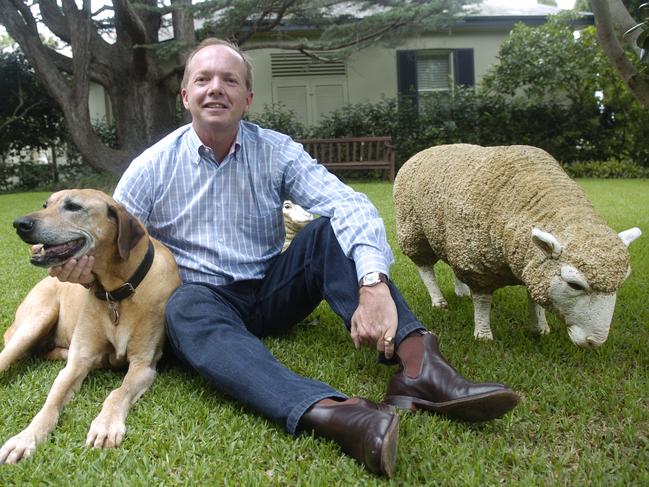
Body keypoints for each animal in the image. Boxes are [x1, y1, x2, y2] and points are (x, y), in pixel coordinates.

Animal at [0, 190, 178, 466]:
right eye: (46, 204)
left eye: (73, 206)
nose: (20, 223)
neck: (117, 290)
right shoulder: (77, 364)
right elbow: (50, 403)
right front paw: (25, 438)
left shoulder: (143, 365)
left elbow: (118, 392)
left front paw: (106, 425)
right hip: (34, 322)